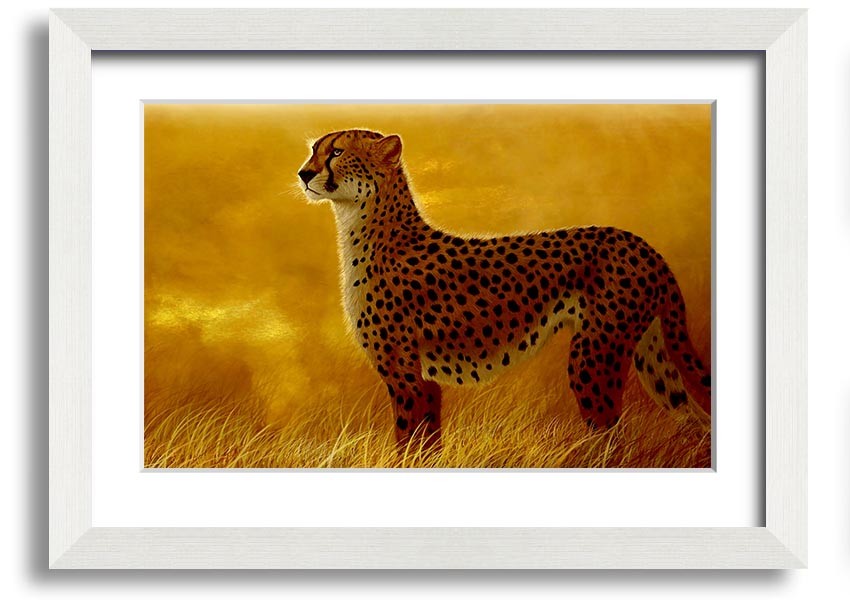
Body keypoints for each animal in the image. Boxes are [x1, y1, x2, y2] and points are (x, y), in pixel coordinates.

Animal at [298, 129, 711, 449]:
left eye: (337, 152)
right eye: (314, 150)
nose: (303, 173)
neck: (363, 225)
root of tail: (639, 242)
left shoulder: (407, 377)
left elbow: (409, 444)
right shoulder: (424, 380)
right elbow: (425, 445)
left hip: (594, 356)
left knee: (611, 435)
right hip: (649, 353)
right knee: (694, 418)